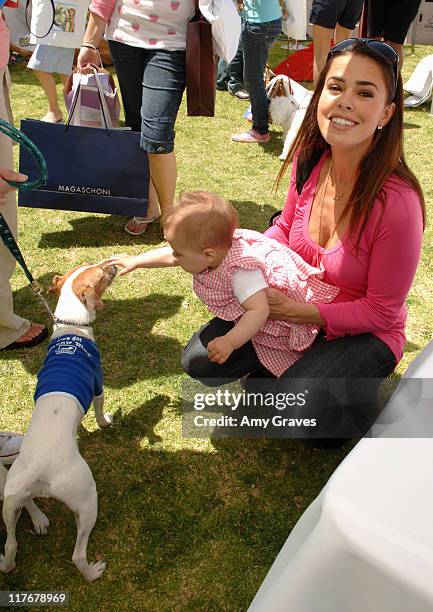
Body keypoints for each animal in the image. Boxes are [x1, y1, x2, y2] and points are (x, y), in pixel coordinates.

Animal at [0, 260, 116, 580]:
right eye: (101, 275)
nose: (112, 264)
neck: (70, 326)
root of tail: (38, 470)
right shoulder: (98, 386)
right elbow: (100, 411)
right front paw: (105, 422)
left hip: (10, 498)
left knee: (11, 544)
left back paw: (8, 561)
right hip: (86, 497)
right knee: (77, 554)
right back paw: (93, 571)